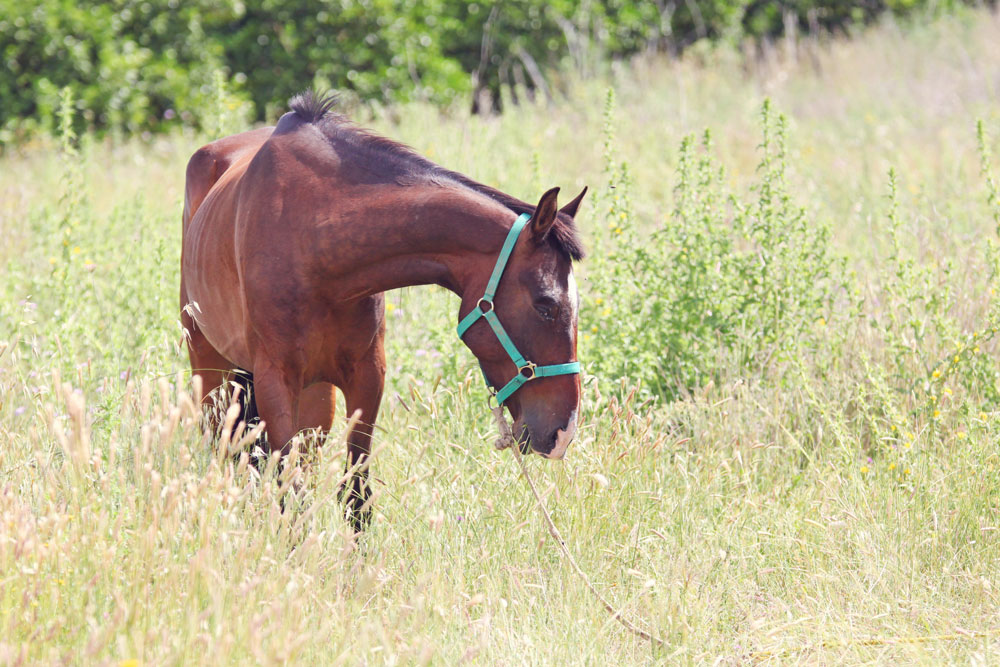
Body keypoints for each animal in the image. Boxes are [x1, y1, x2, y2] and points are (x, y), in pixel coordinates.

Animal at [181, 92, 584, 520]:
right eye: (545, 305)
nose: (562, 433)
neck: (312, 237)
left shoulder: (367, 377)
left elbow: (354, 496)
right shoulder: (276, 381)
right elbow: (290, 493)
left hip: (315, 399)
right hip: (211, 373)